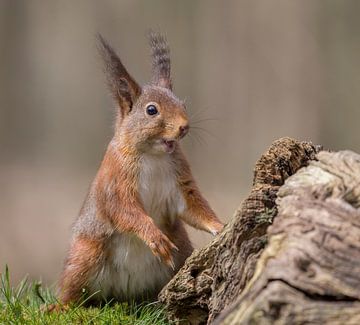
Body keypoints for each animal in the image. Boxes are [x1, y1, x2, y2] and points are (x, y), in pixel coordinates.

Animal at [54, 32, 224, 306]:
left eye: (183, 104)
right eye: (151, 110)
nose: (184, 127)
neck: (153, 155)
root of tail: (124, 294)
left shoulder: (181, 180)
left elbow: (193, 206)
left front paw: (219, 226)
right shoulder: (116, 181)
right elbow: (125, 210)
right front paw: (153, 235)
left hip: (181, 251)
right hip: (86, 254)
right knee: (72, 290)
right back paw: (57, 307)